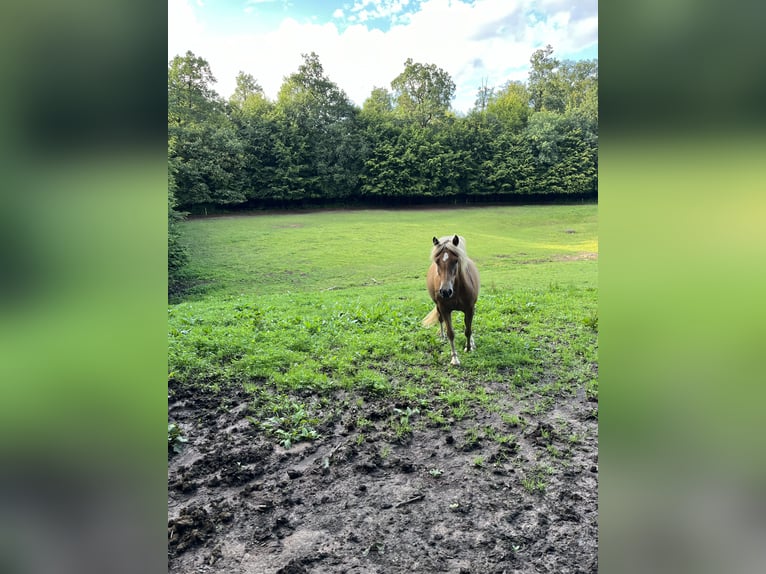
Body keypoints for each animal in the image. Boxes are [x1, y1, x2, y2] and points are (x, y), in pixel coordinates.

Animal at [424, 236, 484, 366]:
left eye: (456, 261)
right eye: (437, 261)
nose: (445, 291)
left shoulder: (470, 309)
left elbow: (468, 330)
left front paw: (468, 347)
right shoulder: (444, 310)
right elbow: (450, 333)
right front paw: (454, 358)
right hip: (438, 307)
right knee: (441, 320)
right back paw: (442, 337)